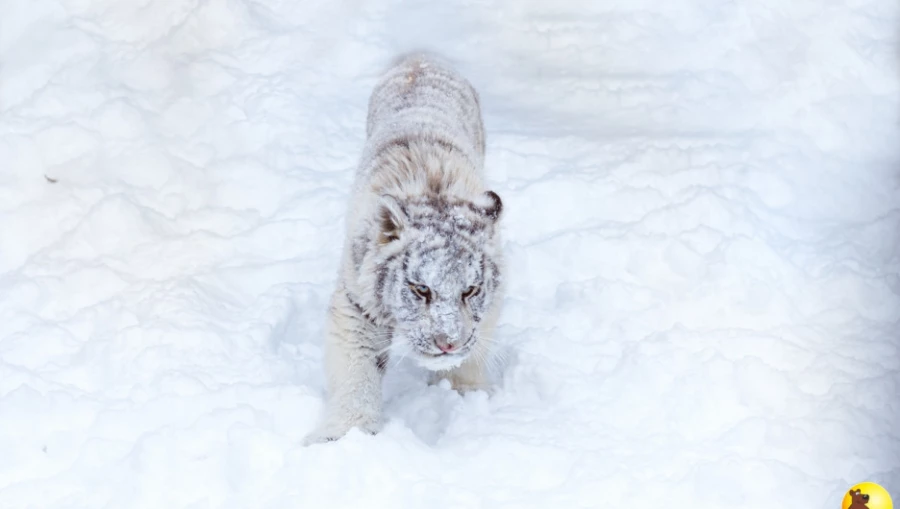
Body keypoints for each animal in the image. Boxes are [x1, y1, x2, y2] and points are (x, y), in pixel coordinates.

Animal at [304, 53, 502, 442]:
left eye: (470, 290)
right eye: (421, 289)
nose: (447, 343)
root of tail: (420, 59)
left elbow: (475, 347)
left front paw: (464, 394)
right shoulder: (357, 303)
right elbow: (357, 371)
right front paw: (346, 434)